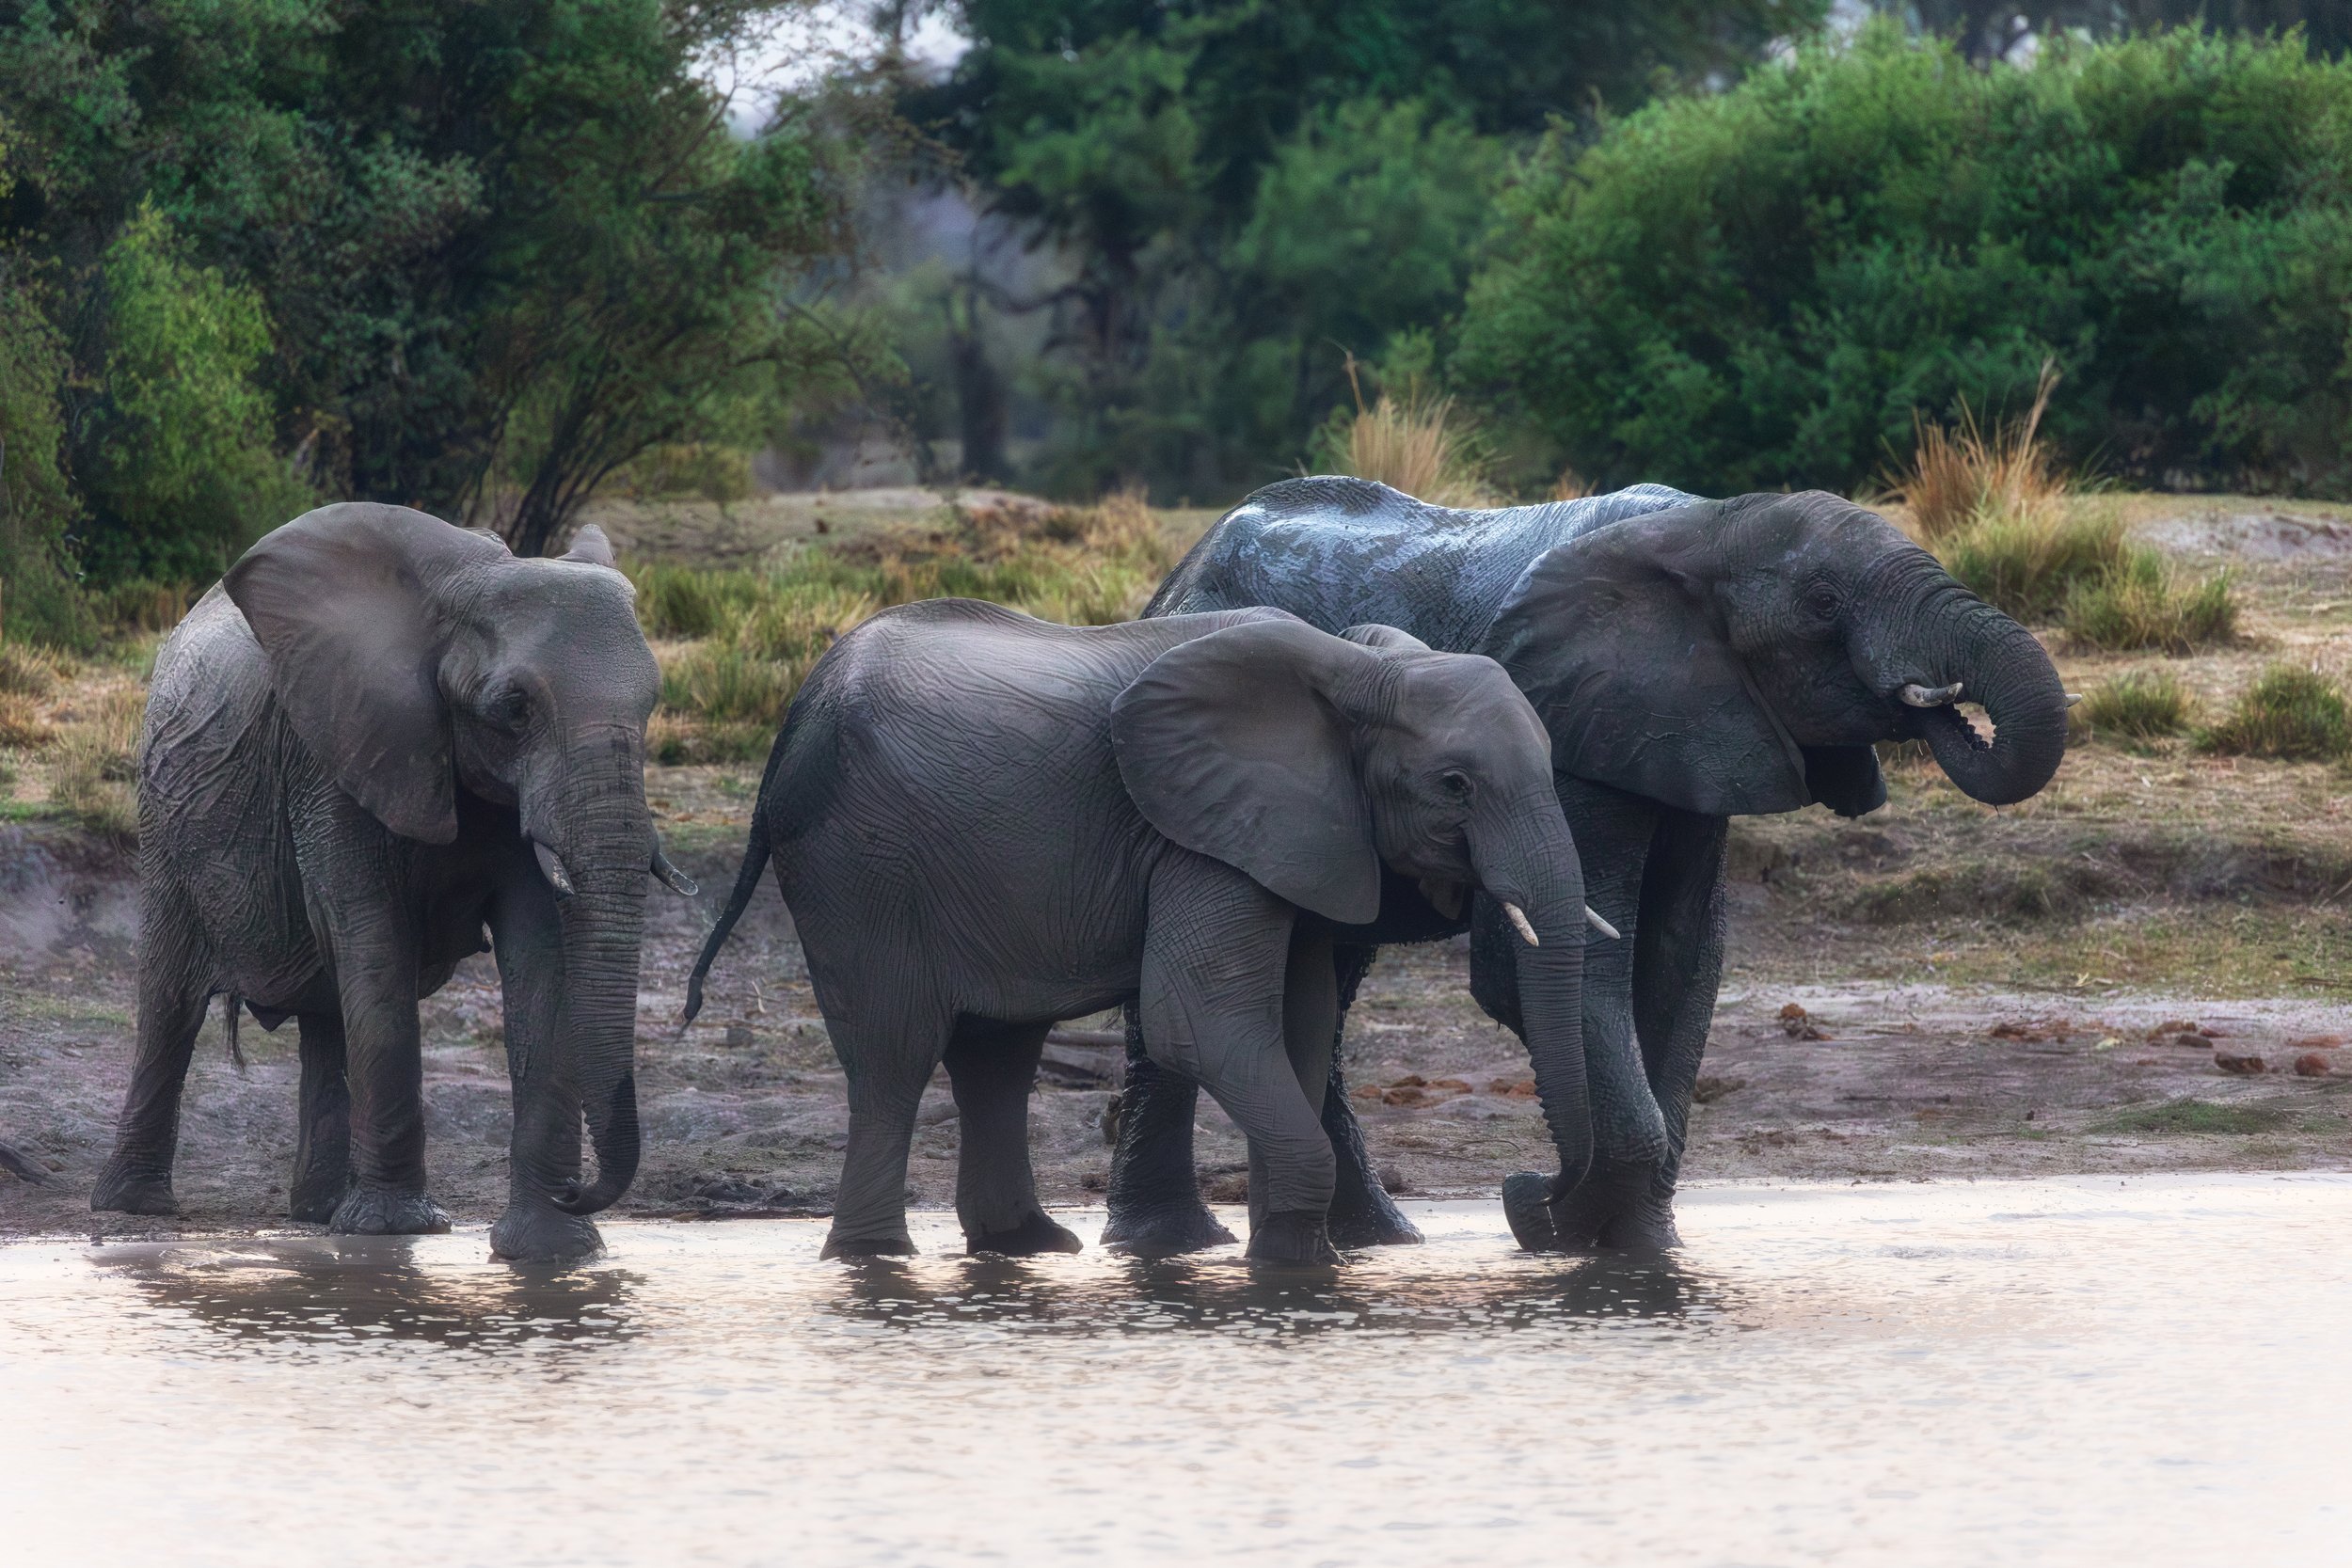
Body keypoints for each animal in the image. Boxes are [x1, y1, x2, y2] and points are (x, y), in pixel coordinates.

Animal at [90, 503, 694, 1263]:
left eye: (651, 705)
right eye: (514, 707)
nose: (576, 1189)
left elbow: (542, 955)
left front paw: (552, 1250)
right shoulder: (328, 752)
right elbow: (371, 932)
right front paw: (396, 1229)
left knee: (325, 1017)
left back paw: (319, 1213)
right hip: (166, 827)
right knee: (170, 1003)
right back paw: (137, 1206)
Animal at [679, 598, 1603, 1264]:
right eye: (1455, 785)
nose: (1528, 1199)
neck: (1360, 668)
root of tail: (789, 727)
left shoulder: (1300, 837)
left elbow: (1297, 1027)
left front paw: (1290, 1257)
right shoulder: (1201, 835)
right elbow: (1194, 1020)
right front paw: (1297, 1257)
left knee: (995, 1052)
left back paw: (1028, 1246)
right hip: (858, 865)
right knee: (895, 1053)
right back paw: (875, 1258)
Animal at [1104, 479, 2071, 1257]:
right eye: (1825, 600)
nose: (1522, 1187)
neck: (1711, 524)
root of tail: (1175, 573)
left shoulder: (1692, 733)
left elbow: (1684, 960)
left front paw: (1640, 1251)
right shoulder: (1570, 735)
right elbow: (1551, 961)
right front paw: (1565, 1230)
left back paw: (1379, 1240)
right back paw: (1170, 1245)